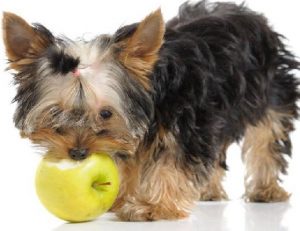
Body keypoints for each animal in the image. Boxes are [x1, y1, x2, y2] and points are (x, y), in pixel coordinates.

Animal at [1, 0, 298, 221]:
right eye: (55, 113)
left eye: (106, 113)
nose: (77, 153)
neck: (153, 95)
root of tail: (251, 15)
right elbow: (129, 162)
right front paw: (123, 197)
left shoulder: (184, 121)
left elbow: (172, 163)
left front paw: (154, 207)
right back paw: (209, 190)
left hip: (271, 89)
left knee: (267, 137)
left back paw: (266, 190)